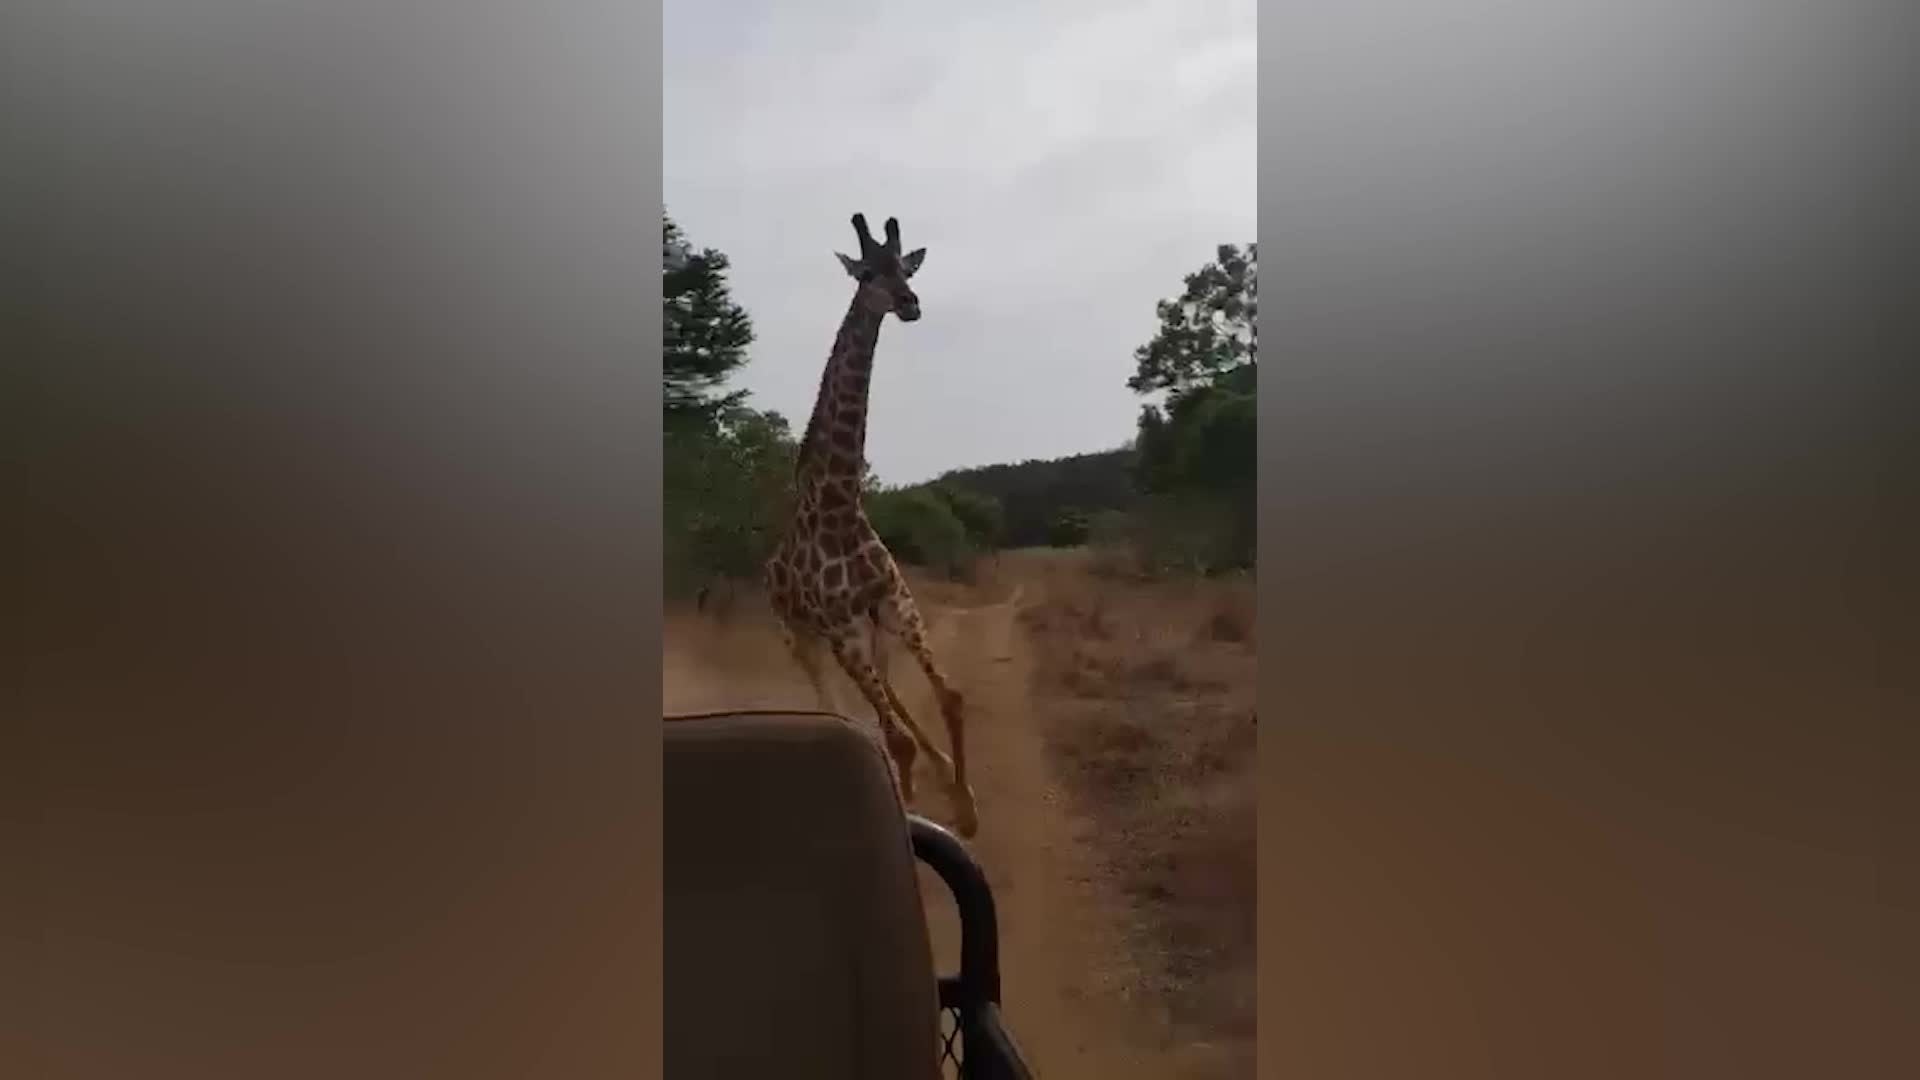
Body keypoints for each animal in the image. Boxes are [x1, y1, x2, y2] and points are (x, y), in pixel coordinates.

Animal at [764, 213, 980, 838]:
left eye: (905, 266)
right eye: (867, 272)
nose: (909, 303)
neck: (838, 504)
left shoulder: (895, 605)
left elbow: (949, 697)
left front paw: (966, 806)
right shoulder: (842, 629)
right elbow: (893, 737)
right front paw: (908, 808)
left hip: (867, 635)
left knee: (891, 703)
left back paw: (939, 770)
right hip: (805, 639)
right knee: (843, 709)